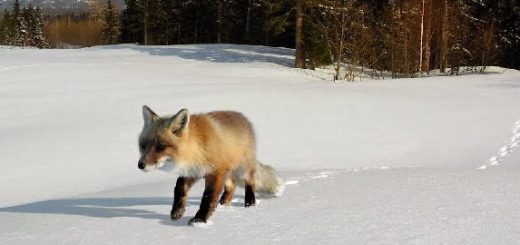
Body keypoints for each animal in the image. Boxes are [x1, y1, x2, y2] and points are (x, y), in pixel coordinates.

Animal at [138, 106, 282, 225]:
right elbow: (179, 187)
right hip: (227, 172)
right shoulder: (195, 171)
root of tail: (243, 117)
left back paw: (250, 203)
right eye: (143, 146)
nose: (140, 165)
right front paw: (177, 211)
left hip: (242, 168)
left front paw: (200, 220)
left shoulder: (216, 172)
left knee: (250, 182)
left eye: (161, 147)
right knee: (232, 186)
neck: (197, 148)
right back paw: (223, 204)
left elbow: (208, 196)